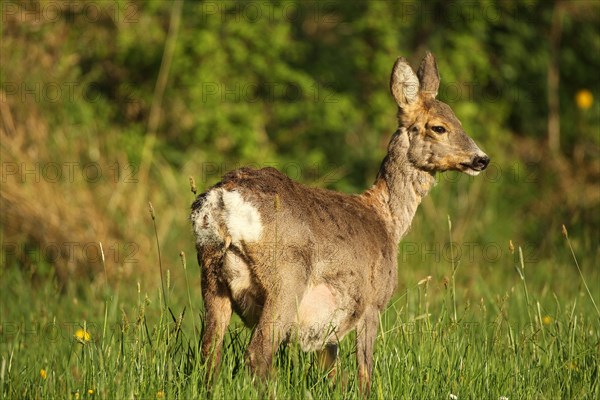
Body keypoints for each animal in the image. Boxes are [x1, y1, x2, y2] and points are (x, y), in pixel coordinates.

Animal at [191, 51, 488, 392]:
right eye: (439, 127)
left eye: (458, 120)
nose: (482, 159)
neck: (387, 220)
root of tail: (222, 200)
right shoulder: (373, 301)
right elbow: (364, 372)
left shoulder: (327, 329)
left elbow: (332, 373)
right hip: (286, 279)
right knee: (258, 353)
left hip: (212, 276)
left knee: (209, 352)